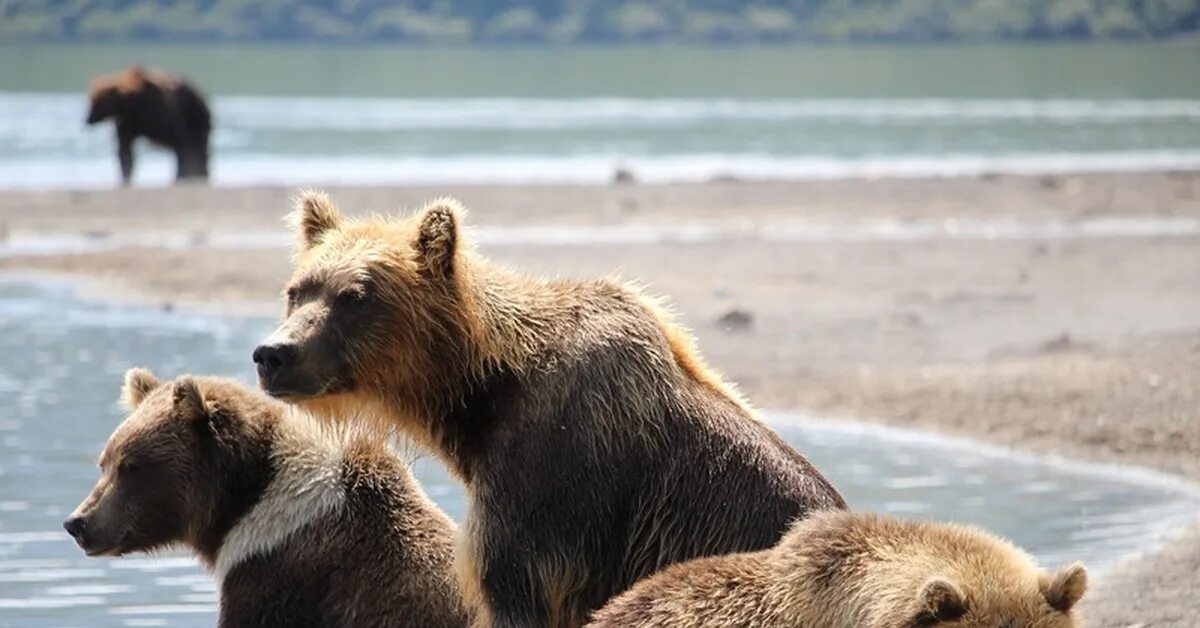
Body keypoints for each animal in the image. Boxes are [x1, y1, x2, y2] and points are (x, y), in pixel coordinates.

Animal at [253, 193, 844, 628]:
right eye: (297, 290)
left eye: (354, 296)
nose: (273, 354)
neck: (482, 393)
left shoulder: (549, 482)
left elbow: (516, 588)